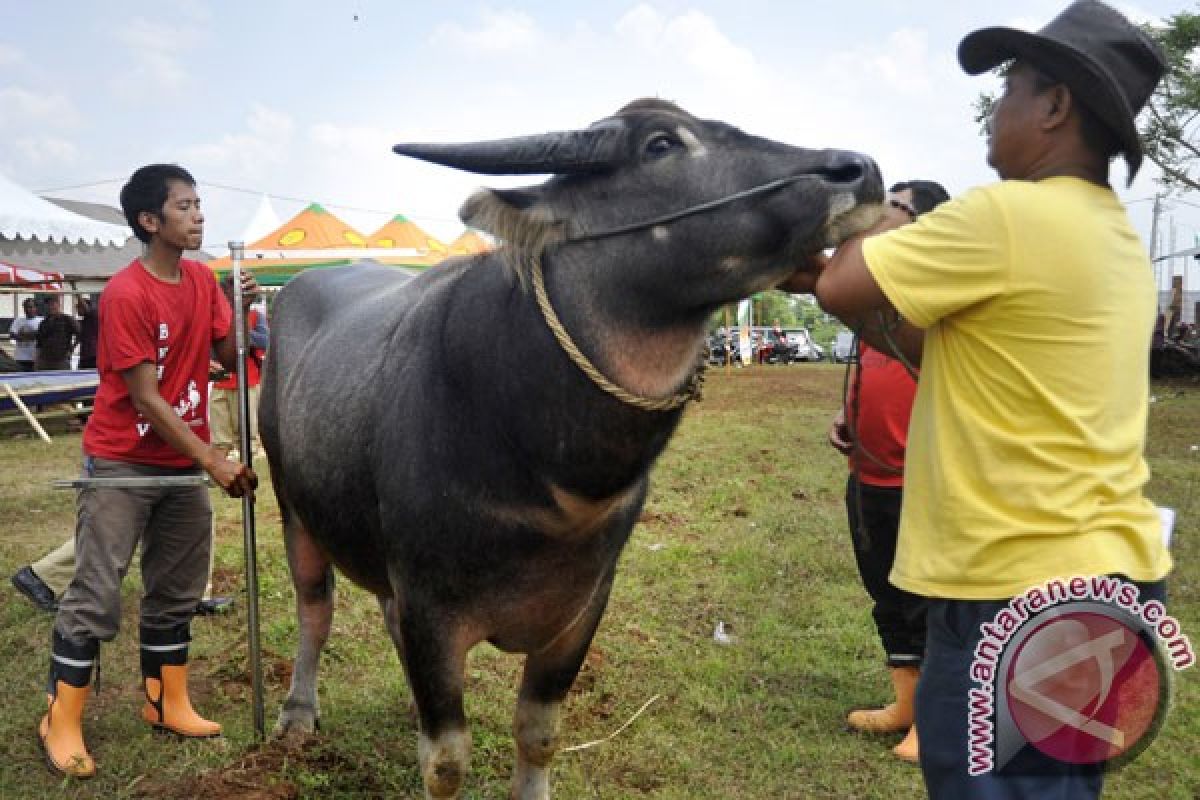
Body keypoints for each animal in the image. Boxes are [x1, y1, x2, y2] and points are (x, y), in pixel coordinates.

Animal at [262, 100, 883, 800]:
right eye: (661, 144)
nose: (859, 169)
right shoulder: (430, 610)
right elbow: (445, 762)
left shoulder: (581, 608)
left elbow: (538, 733)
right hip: (292, 508)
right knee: (314, 608)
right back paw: (297, 713)